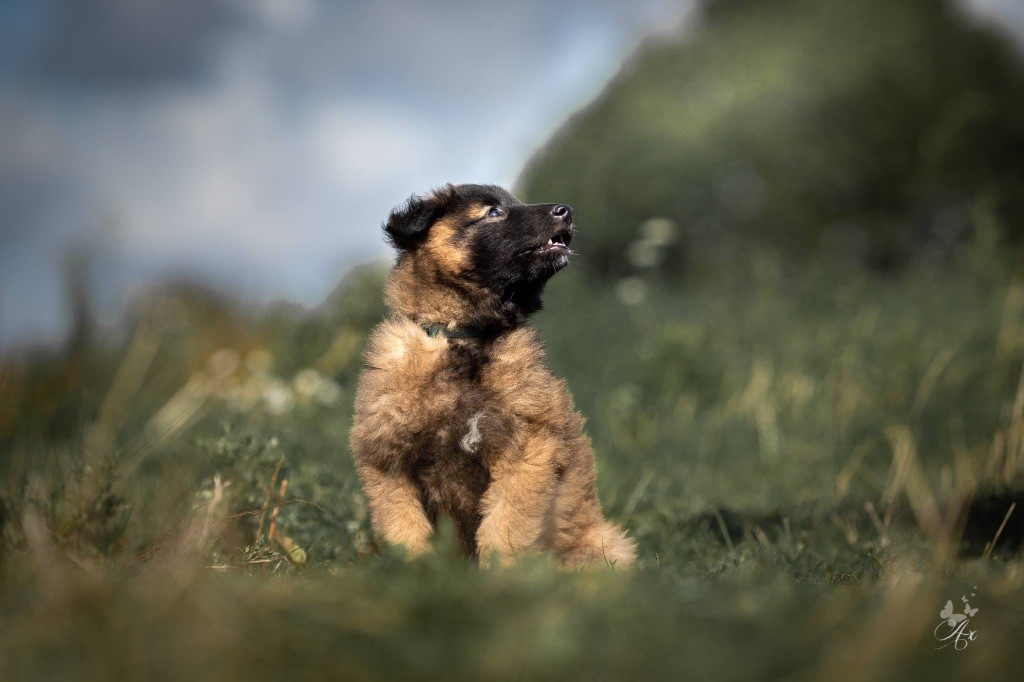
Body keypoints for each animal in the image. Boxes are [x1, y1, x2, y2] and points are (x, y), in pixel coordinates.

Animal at [354, 183, 638, 565]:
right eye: (493, 212)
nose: (567, 210)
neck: (465, 338)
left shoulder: (524, 450)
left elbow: (505, 524)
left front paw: (502, 574)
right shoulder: (388, 458)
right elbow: (404, 525)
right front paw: (415, 569)